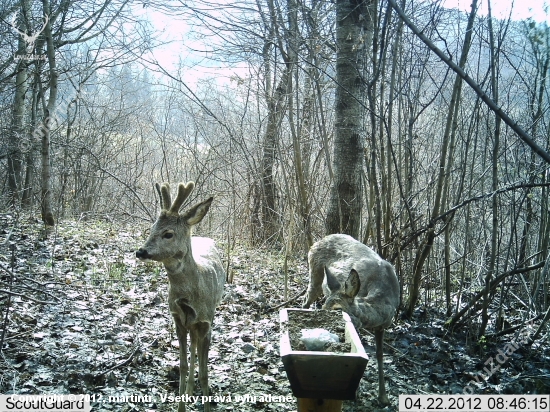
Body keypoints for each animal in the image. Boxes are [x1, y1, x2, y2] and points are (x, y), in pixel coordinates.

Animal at [137, 183, 225, 412]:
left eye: (168, 233)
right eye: (151, 229)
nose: (140, 252)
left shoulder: (206, 322)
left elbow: (204, 372)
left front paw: (206, 406)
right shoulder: (178, 319)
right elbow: (183, 366)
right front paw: (181, 405)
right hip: (189, 324)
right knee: (192, 348)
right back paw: (189, 392)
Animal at [302, 235, 402, 406]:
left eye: (337, 309)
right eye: (325, 308)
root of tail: (318, 241)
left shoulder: (383, 326)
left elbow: (380, 354)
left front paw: (383, 397)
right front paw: (356, 392)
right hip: (314, 274)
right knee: (306, 300)